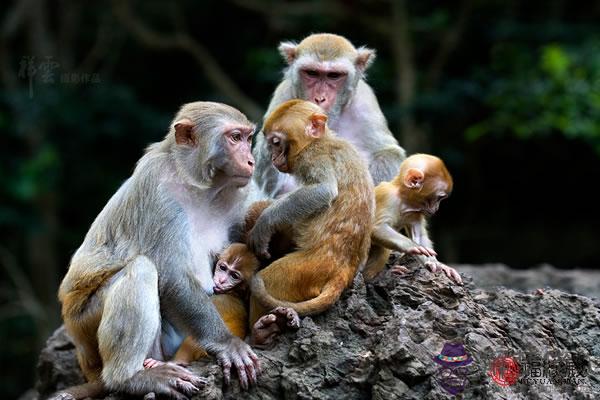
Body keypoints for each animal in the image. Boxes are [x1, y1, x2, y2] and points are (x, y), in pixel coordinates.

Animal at [55, 101, 262, 398]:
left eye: (247, 138)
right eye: (234, 138)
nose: (250, 161)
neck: (198, 185)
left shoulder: (241, 196)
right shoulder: (158, 192)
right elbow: (171, 276)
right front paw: (226, 343)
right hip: (85, 326)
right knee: (142, 269)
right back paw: (130, 378)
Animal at [255, 33, 406, 198]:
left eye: (333, 75)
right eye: (312, 73)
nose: (320, 98)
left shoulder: (365, 103)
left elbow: (388, 151)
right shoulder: (283, 97)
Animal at [360, 153, 460, 284]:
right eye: (439, 198)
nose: (437, 208)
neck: (404, 201)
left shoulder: (415, 212)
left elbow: (419, 236)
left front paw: (435, 263)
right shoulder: (387, 196)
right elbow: (375, 227)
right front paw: (411, 246)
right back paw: (373, 278)